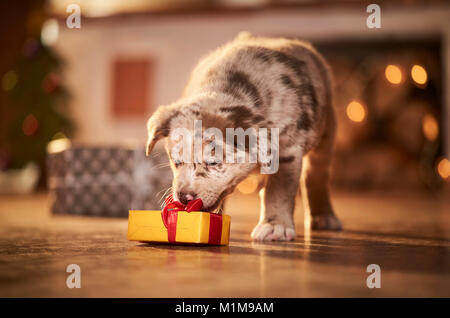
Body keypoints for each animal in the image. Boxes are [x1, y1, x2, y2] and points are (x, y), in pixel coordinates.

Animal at [147, 32, 342, 241]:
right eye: (176, 162)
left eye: (214, 163)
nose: (185, 197)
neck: (228, 90)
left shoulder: (287, 149)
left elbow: (278, 191)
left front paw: (275, 226)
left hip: (326, 129)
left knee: (316, 174)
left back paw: (324, 217)